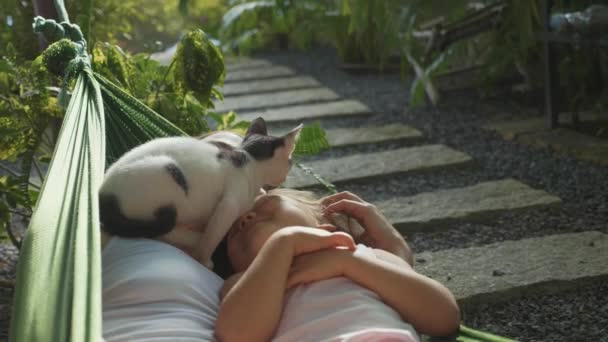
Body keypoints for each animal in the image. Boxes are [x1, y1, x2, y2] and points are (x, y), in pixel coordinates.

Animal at [100, 117, 302, 268]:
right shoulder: (228, 203)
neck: (248, 160)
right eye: (290, 161)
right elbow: (214, 235)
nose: (288, 171)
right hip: (166, 173)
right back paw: (195, 238)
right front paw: (203, 260)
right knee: (163, 231)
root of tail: (103, 194)